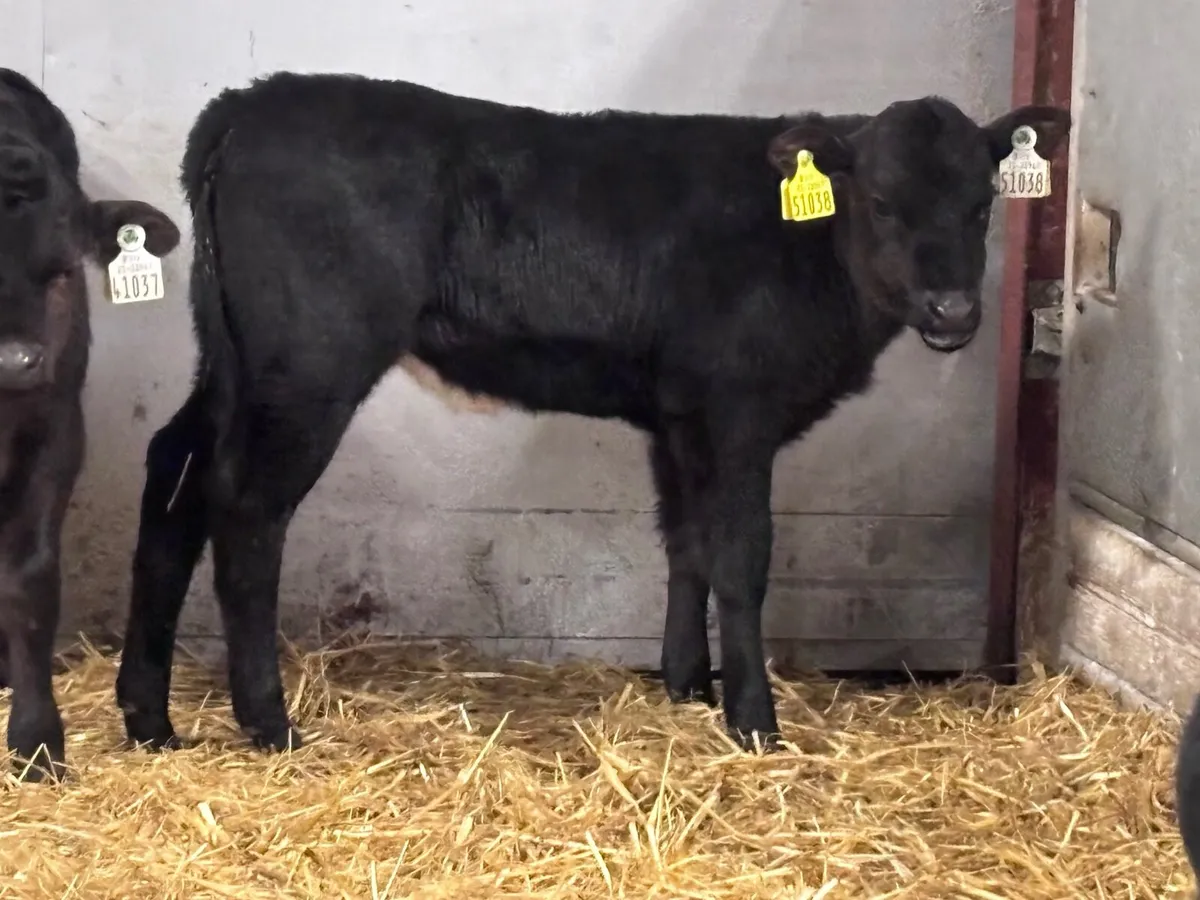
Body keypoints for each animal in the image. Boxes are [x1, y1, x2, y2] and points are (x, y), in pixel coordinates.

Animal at [113, 71, 1069, 756]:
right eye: (880, 201)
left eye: (982, 203)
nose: (953, 309)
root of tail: (251, 101)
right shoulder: (736, 409)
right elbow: (741, 556)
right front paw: (753, 720)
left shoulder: (680, 415)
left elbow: (686, 543)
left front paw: (686, 686)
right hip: (310, 362)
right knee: (246, 509)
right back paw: (268, 722)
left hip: (235, 359)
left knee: (174, 473)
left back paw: (148, 718)